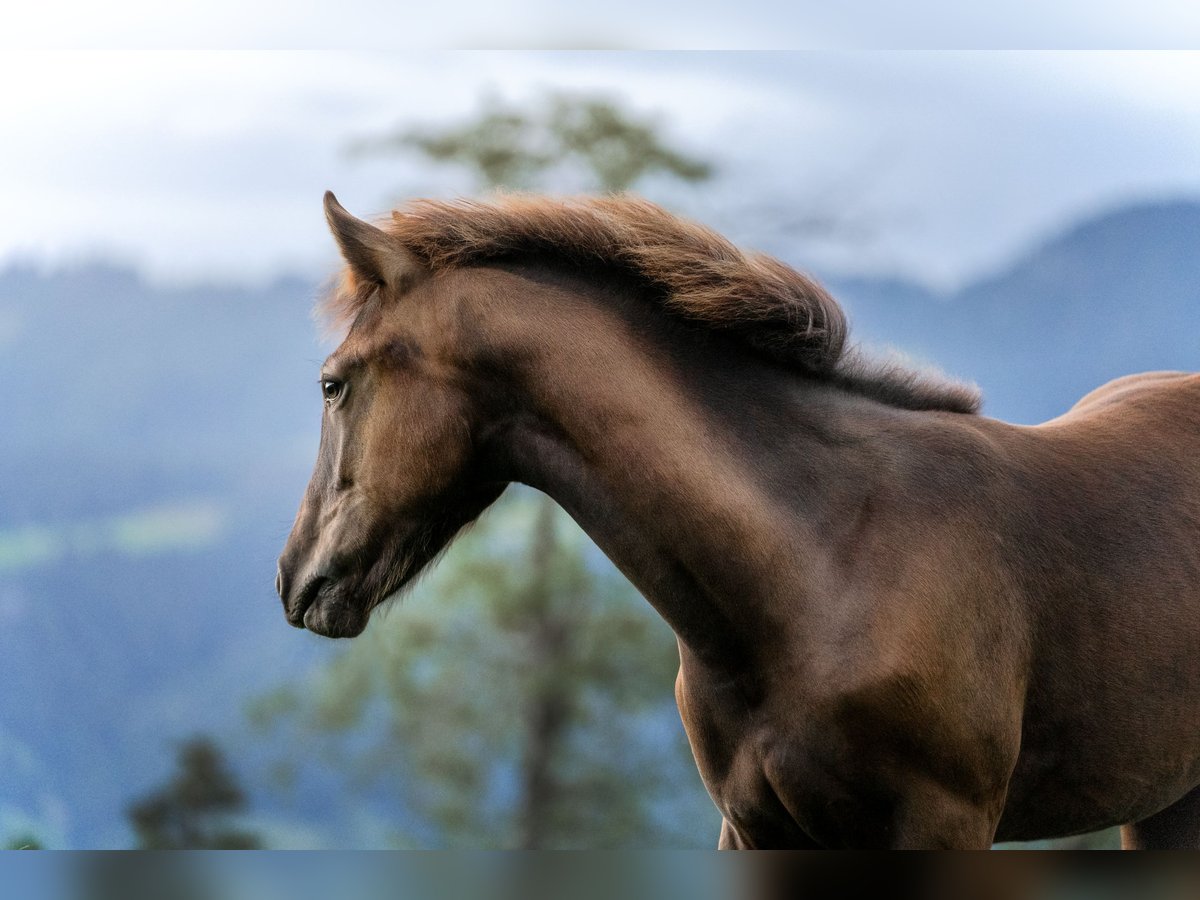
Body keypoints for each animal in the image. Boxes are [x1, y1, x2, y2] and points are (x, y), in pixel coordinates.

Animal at [276, 194, 1200, 849]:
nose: (295, 578)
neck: (824, 560)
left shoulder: (944, 823)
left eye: (331, 382)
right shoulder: (754, 825)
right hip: (1164, 806)